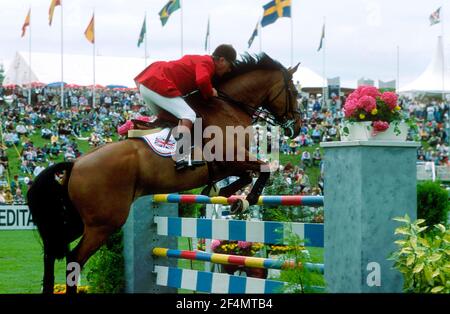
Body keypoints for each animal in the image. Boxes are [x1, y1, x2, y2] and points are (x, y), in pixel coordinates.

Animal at [28, 52, 302, 294]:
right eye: (294, 92)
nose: (297, 128)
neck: (228, 106)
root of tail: (75, 163)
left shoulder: (231, 164)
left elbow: (246, 176)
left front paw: (223, 193)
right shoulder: (231, 158)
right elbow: (263, 169)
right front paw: (245, 200)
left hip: (79, 219)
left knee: (52, 253)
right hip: (104, 223)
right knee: (74, 259)